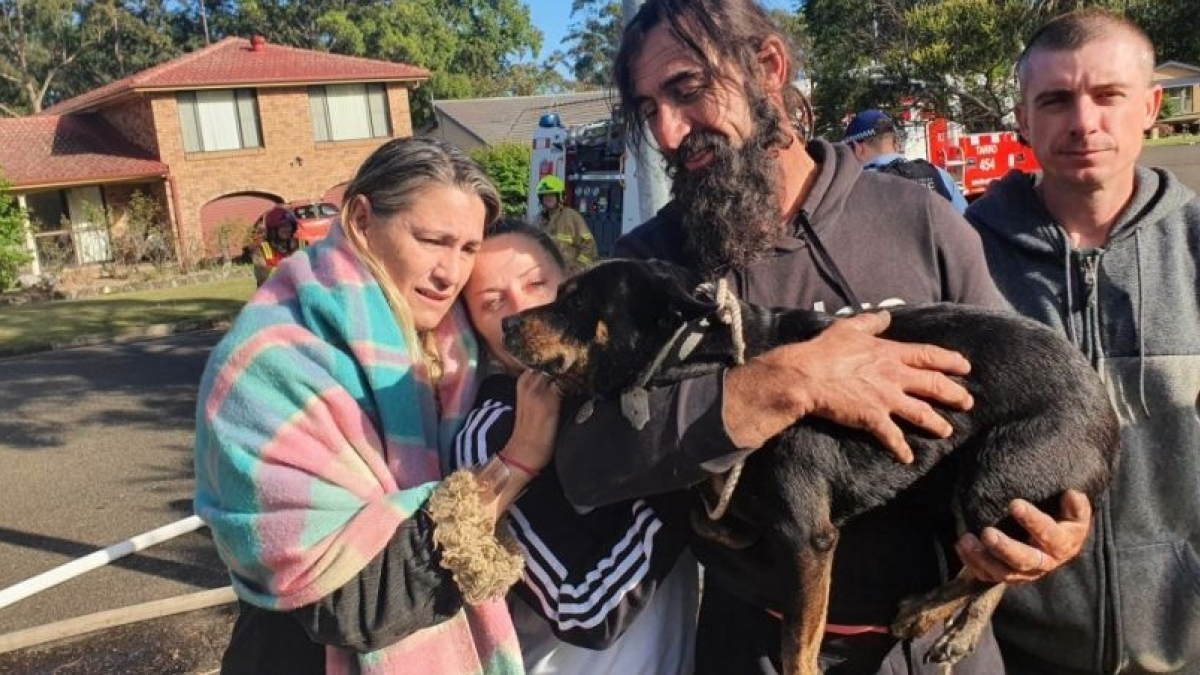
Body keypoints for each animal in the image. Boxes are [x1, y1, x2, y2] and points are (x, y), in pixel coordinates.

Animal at [501, 257, 1118, 672]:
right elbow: (713, 514)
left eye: (576, 302)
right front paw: (728, 521)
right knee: (999, 560)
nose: (505, 324)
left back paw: (922, 613)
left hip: (992, 475)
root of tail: (1107, 408)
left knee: (990, 559)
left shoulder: (809, 539)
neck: (702, 356)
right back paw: (955, 630)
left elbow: (799, 640)